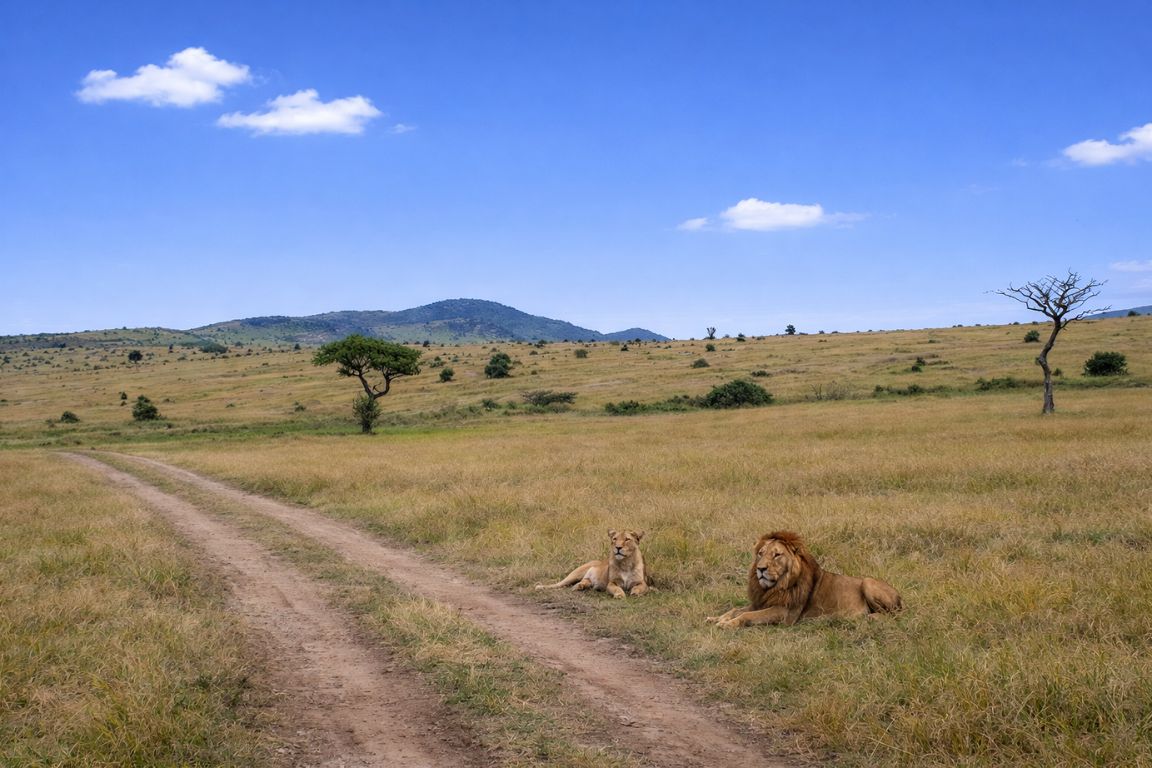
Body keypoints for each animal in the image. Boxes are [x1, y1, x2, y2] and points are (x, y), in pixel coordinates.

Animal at [706, 531, 902, 628]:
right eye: (760, 554)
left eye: (776, 555)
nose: (760, 569)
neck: (775, 586)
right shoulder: (761, 602)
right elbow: (735, 610)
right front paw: (716, 619)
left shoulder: (784, 612)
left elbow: (746, 614)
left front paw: (727, 624)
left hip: (868, 582)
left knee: (893, 615)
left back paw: (871, 617)